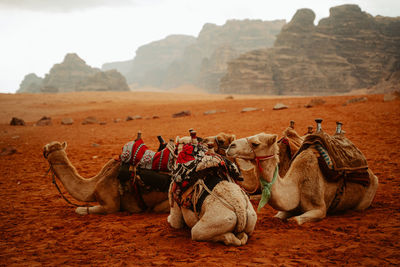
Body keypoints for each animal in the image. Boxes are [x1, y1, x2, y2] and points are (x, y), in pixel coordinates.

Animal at [228, 125, 378, 224]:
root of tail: (372, 175)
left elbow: (294, 220)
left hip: (365, 200)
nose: (231, 146)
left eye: (255, 143)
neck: (297, 185)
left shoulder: (319, 209)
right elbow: (278, 216)